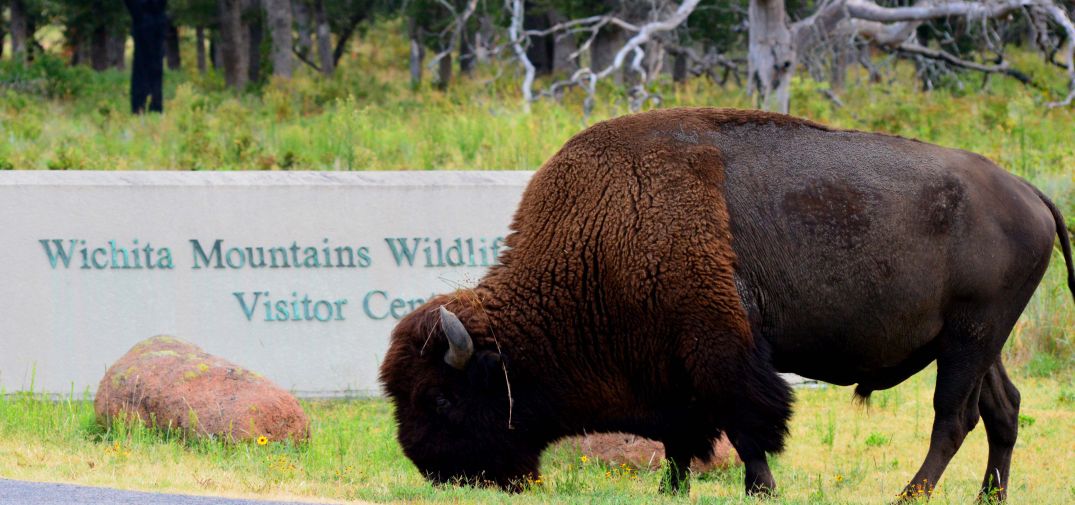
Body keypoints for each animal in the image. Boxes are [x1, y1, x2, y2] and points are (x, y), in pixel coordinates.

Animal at [379, 108, 1074, 499]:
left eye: (439, 399)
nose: (433, 470)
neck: (607, 229)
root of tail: (1029, 193)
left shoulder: (721, 350)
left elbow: (747, 425)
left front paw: (759, 489)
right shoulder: (671, 368)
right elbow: (683, 434)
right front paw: (671, 487)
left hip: (969, 339)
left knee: (952, 418)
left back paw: (911, 494)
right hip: (978, 343)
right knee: (1003, 410)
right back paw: (988, 498)